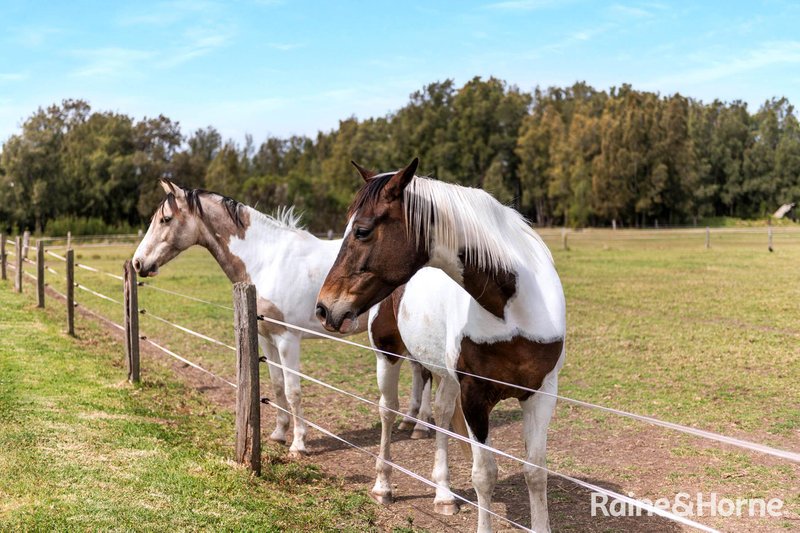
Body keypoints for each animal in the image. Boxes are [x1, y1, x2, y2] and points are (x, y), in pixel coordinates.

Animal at [133, 181, 432, 456]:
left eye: (166, 219)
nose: (138, 263)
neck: (267, 261)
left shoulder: (288, 340)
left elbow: (292, 390)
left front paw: (299, 444)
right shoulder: (266, 338)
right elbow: (277, 385)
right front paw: (279, 433)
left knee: (427, 373)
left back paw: (419, 426)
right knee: (419, 371)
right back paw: (409, 421)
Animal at [316, 159, 564, 532]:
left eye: (361, 230)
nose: (324, 307)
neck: (514, 306)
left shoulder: (541, 392)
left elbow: (535, 472)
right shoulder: (476, 394)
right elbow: (484, 475)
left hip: (446, 376)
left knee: (442, 416)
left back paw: (444, 494)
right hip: (387, 357)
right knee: (387, 411)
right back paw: (383, 486)